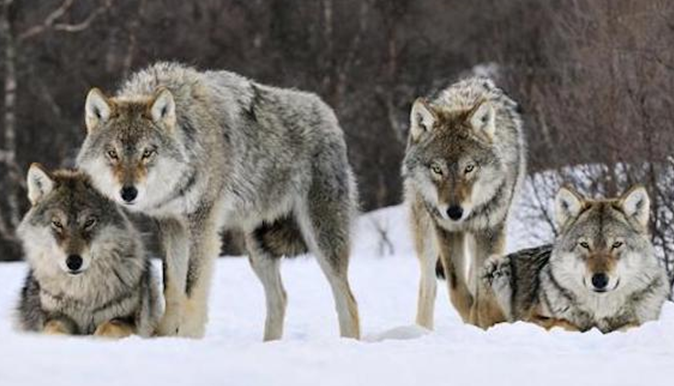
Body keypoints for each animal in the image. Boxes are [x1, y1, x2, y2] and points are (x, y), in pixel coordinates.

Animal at [15, 164, 162, 336]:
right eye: (57, 223)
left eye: (89, 222)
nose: (73, 262)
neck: (82, 294)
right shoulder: (55, 316)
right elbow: (54, 329)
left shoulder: (127, 320)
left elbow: (108, 328)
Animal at [76, 61, 360, 340]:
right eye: (112, 153)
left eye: (147, 153)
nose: (128, 193)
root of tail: (328, 114)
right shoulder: (171, 225)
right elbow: (172, 287)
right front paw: (164, 336)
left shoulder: (202, 225)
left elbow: (191, 289)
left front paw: (188, 339)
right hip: (257, 248)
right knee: (280, 297)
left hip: (321, 239)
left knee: (348, 301)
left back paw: (348, 342)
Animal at [400, 76, 524, 328]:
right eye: (437, 169)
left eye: (469, 168)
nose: (454, 212)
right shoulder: (447, 231)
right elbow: (457, 291)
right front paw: (472, 319)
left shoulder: (490, 230)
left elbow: (481, 291)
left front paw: (483, 320)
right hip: (426, 233)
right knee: (428, 285)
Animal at [484, 185, 668, 334]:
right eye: (585, 244)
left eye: (616, 244)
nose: (599, 280)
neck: (600, 310)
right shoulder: (531, 318)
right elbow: (564, 322)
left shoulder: (642, 320)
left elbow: (632, 324)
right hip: (497, 267)